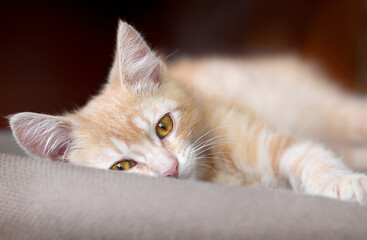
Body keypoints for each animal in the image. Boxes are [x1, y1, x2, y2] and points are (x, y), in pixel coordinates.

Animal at [7, 20, 367, 204]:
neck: (213, 171)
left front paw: (340, 182)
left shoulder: (264, 137)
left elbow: (307, 154)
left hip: (325, 107)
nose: (170, 169)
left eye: (164, 126)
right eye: (122, 166)